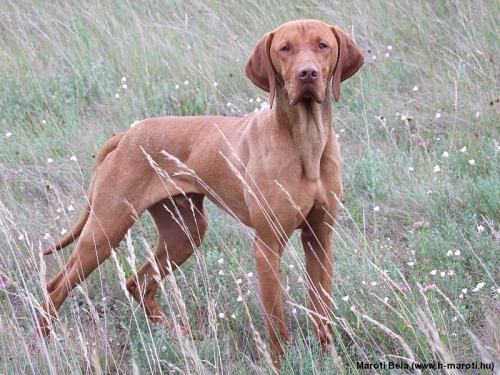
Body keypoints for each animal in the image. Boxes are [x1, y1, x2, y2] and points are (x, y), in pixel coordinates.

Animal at [37, 19, 362, 368]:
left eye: (322, 45)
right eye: (285, 48)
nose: (308, 74)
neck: (306, 141)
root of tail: (127, 134)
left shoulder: (320, 240)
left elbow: (322, 313)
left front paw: (331, 361)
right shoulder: (267, 245)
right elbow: (276, 321)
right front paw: (281, 365)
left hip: (185, 231)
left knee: (137, 283)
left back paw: (180, 334)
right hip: (105, 231)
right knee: (56, 286)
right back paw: (41, 348)